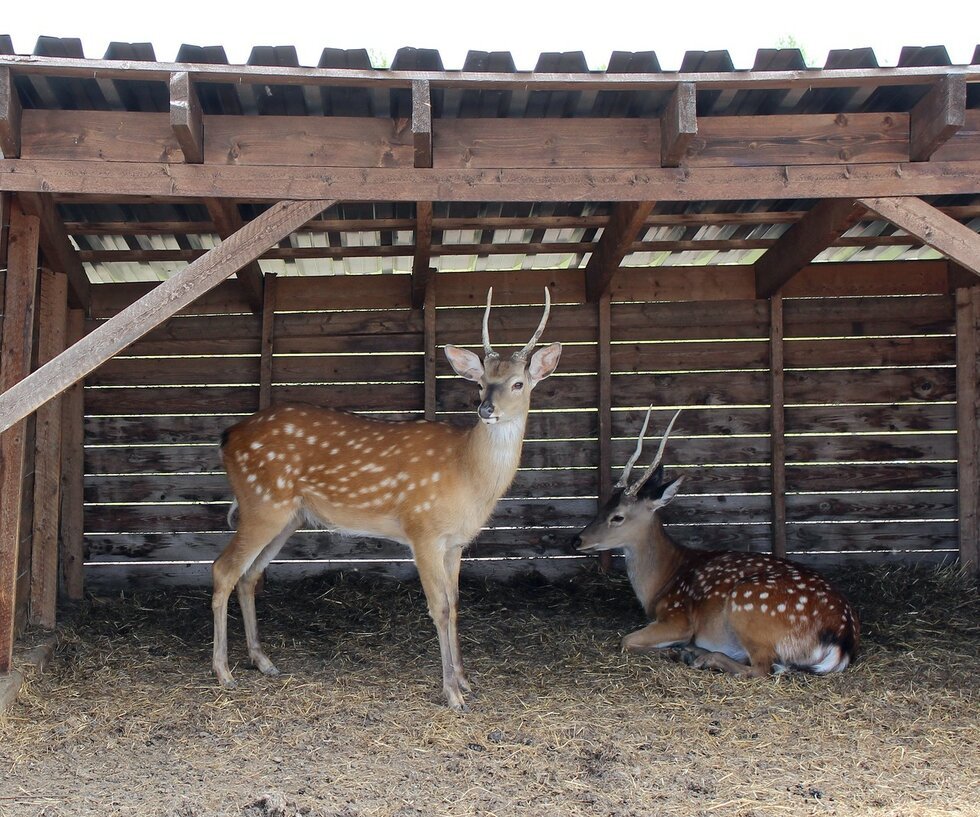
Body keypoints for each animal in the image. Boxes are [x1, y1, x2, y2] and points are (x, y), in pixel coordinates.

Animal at [212, 286, 560, 708]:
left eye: (518, 384)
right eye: (480, 383)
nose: (486, 409)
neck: (466, 476)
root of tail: (228, 436)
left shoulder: (455, 543)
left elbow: (457, 604)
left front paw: (466, 681)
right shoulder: (422, 530)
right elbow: (439, 607)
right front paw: (451, 693)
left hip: (288, 516)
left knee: (249, 575)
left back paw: (263, 661)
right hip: (261, 502)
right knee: (223, 569)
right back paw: (223, 672)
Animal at [576, 412, 856, 672]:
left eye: (618, 516)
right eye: (603, 504)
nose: (577, 539)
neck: (660, 584)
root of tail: (842, 639)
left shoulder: (678, 617)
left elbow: (625, 641)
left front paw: (675, 651)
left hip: (747, 608)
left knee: (762, 668)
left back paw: (701, 657)